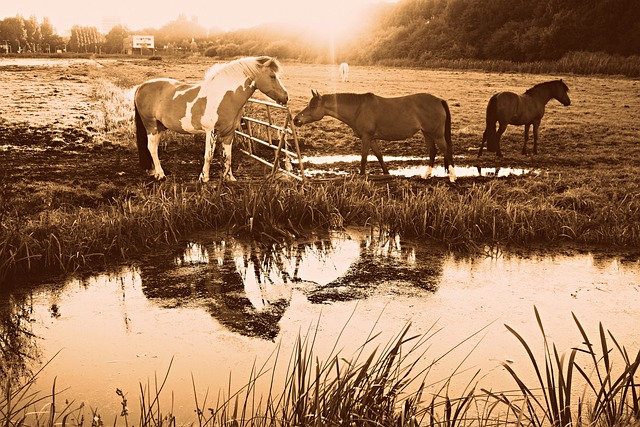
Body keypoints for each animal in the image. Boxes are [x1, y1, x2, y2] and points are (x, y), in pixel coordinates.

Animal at [134, 56, 288, 181]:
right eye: (272, 76)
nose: (286, 97)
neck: (224, 95)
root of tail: (141, 86)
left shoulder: (229, 133)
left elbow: (228, 156)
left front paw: (229, 178)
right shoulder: (211, 131)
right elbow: (209, 155)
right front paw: (204, 178)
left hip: (159, 127)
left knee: (152, 148)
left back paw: (155, 172)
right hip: (151, 126)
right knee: (152, 148)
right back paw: (161, 175)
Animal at [292, 89, 458, 183]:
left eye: (313, 106)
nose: (296, 120)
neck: (358, 109)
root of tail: (438, 100)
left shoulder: (366, 138)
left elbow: (364, 159)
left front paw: (362, 177)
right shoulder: (371, 139)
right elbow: (379, 156)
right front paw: (387, 175)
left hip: (436, 134)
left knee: (446, 150)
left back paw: (452, 178)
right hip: (427, 133)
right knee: (432, 151)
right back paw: (425, 176)